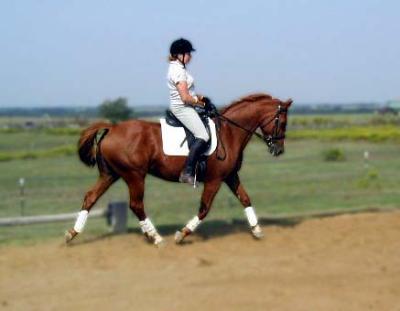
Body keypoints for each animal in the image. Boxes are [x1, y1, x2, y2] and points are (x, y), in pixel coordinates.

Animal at [65, 93, 290, 246]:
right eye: (283, 122)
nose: (278, 150)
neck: (229, 133)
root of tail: (112, 128)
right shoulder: (215, 180)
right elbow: (204, 208)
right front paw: (182, 234)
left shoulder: (230, 176)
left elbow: (245, 199)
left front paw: (257, 230)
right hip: (134, 175)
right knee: (136, 205)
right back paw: (155, 237)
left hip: (110, 174)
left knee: (90, 197)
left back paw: (72, 234)